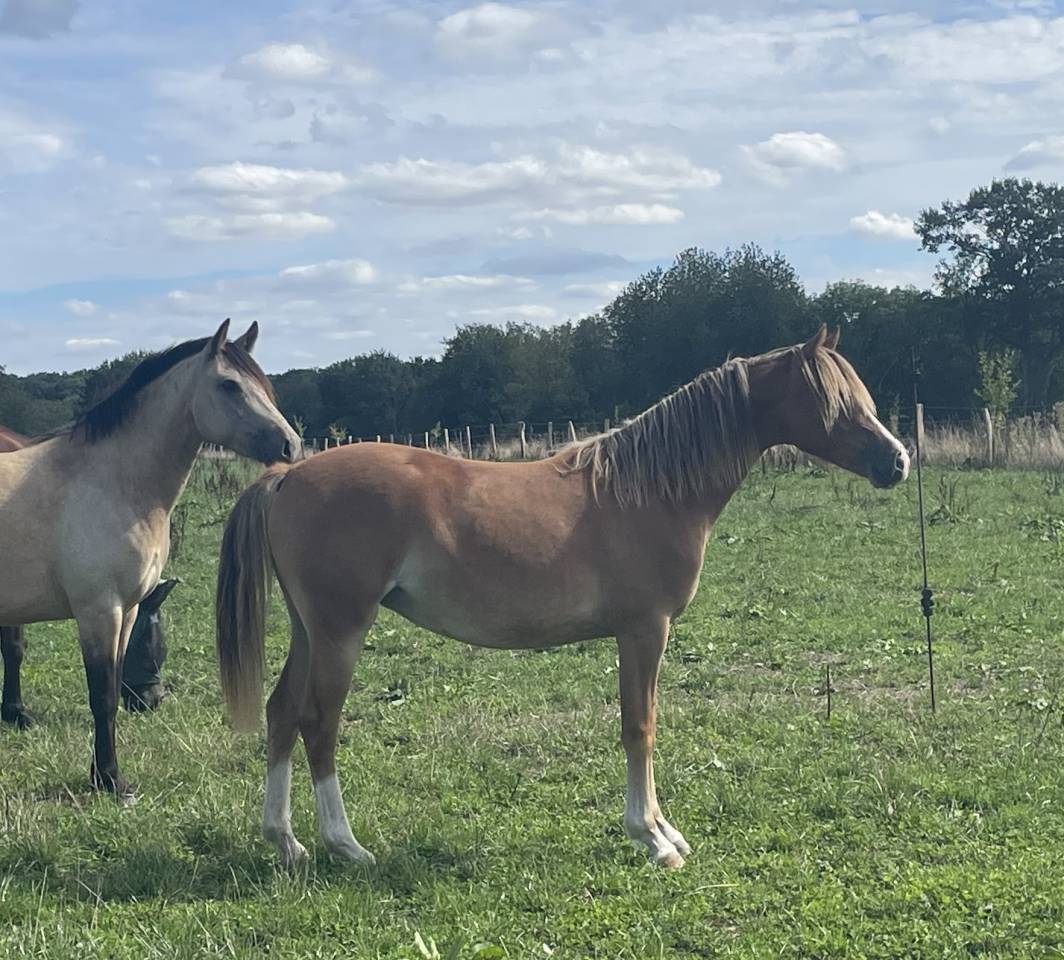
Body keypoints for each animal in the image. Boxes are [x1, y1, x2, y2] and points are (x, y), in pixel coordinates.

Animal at [217, 326, 909, 870]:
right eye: (833, 401)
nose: (898, 461)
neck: (650, 490)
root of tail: (287, 475)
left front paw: (662, 830)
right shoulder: (644, 630)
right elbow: (639, 726)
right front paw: (653, 838)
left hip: (310, 631)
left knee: (282, 714)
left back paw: (286, 842)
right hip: (341, 630)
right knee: (319, 724)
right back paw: (346, 846)